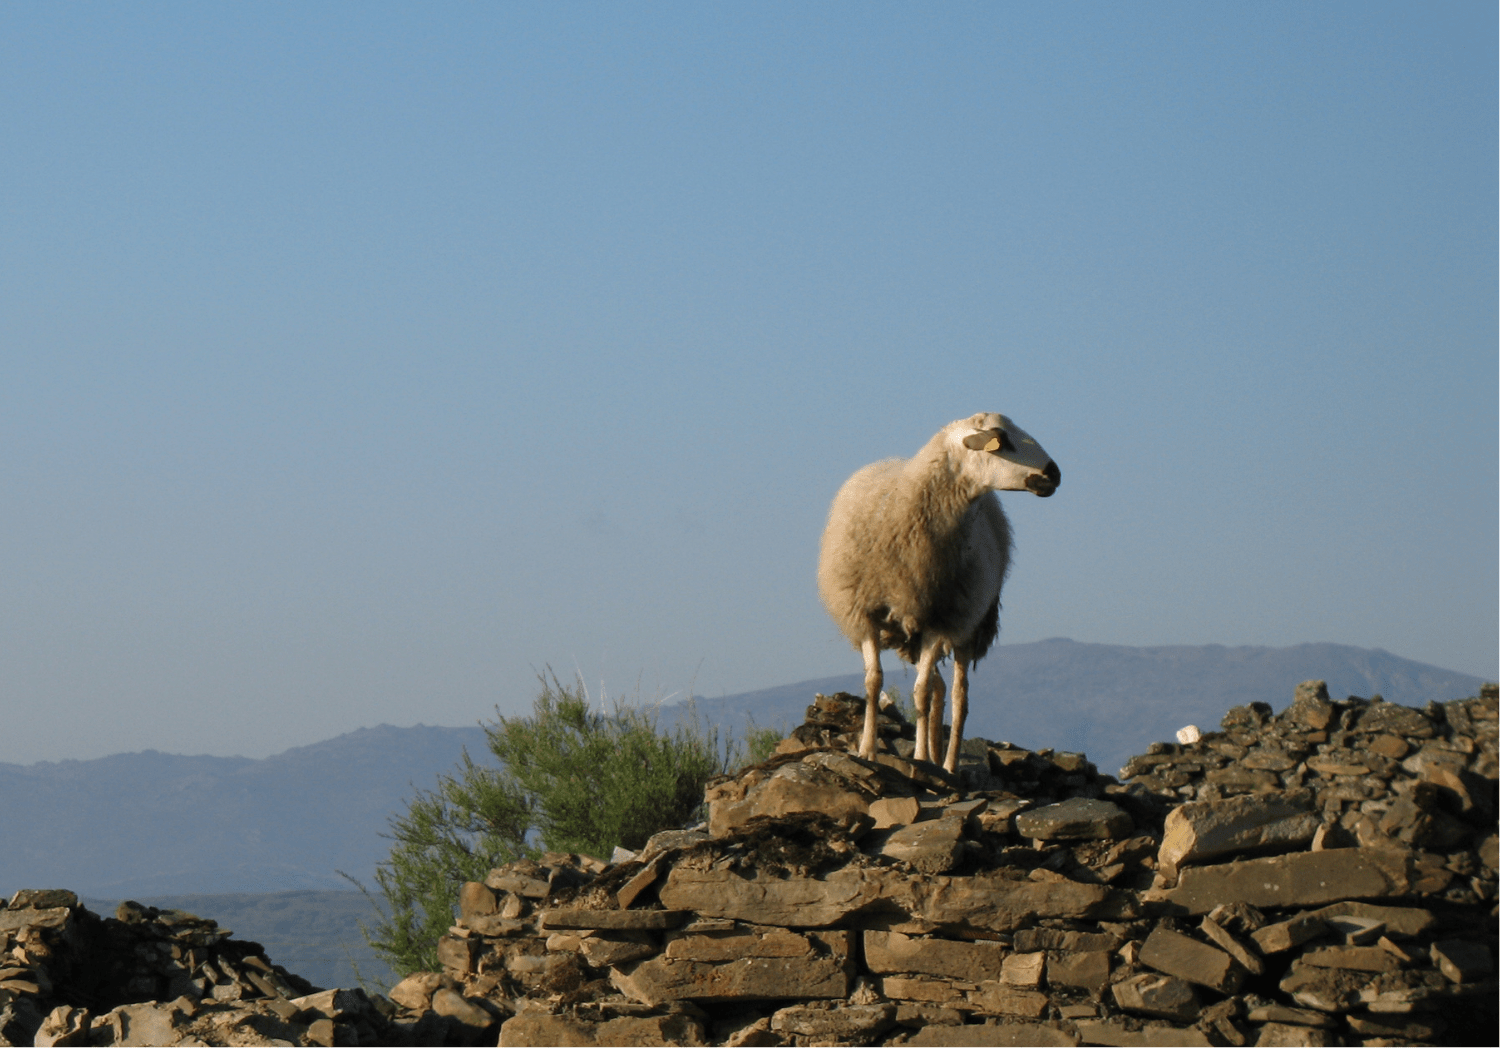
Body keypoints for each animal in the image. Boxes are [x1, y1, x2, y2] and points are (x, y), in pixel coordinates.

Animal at [817, 412, 1060, 772]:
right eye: (1002, 439)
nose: (1055, 473)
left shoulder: (940, 620)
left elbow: (920, 693)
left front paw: (919, 758)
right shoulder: (865, 612)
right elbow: (874, 682)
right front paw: (867, 750)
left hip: (969, 624)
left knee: (958, 694)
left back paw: (947, 763)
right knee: (939, 688)